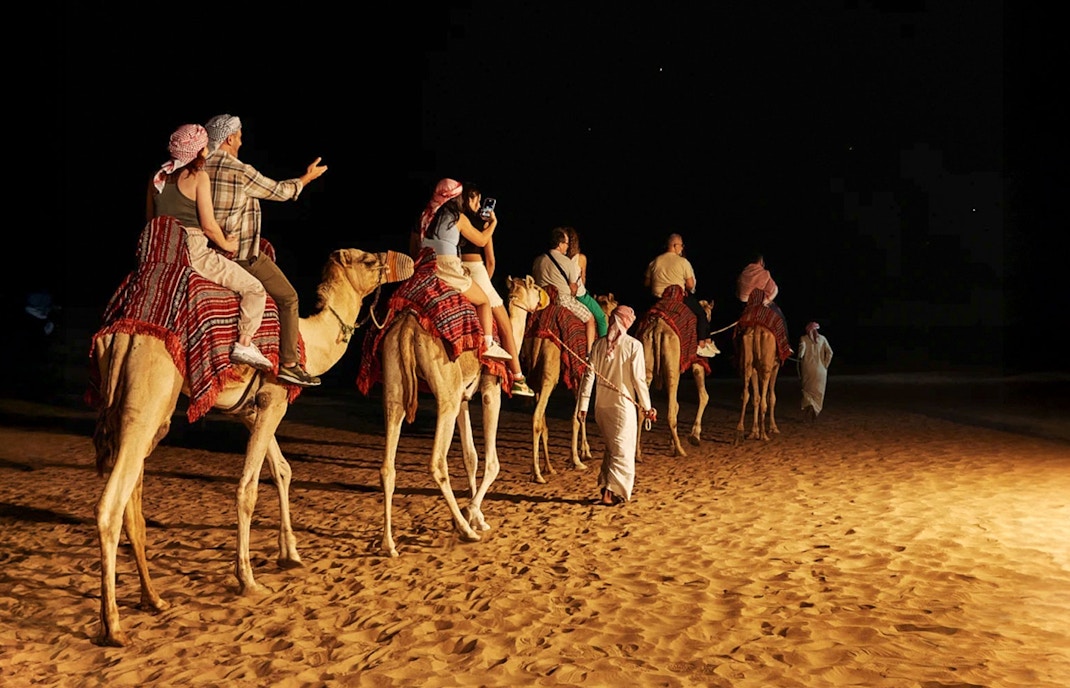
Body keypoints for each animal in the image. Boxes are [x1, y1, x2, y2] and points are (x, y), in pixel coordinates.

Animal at [90, 247, 400, 647]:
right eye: (367, 260)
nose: (394, 262)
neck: (307, 341)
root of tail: (118, 335)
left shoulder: (253, 409)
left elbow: (282, 470)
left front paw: (291, 555)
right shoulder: (274, 398)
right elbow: (247, 488)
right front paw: (248, 580)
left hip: (137, 411)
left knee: (132, 505)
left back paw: (153, 599)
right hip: (148, 400)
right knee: (111, 507)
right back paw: (113, 626)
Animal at [376, 274, 549, 557]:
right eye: (533, 286)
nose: (545, 296)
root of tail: (407, 329)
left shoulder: (464, 399)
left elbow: (471, 456)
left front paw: (477, 517)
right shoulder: (491, 388)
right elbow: (492, 462)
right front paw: (471, 513)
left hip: (396, 385)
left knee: (387, 466)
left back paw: (388, 544)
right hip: (446, 391)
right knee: (437, 462)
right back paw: (465, 530)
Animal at [636, 296, 715, 460]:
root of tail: (657, 328)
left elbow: (678, 404)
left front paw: (671, 443)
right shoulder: (697, 362)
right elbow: (704, 396)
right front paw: (694, 436)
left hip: (646, 359)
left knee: (642, 409)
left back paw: (637, 454)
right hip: (672, 367)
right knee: (670, 412)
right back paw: (680, 450)